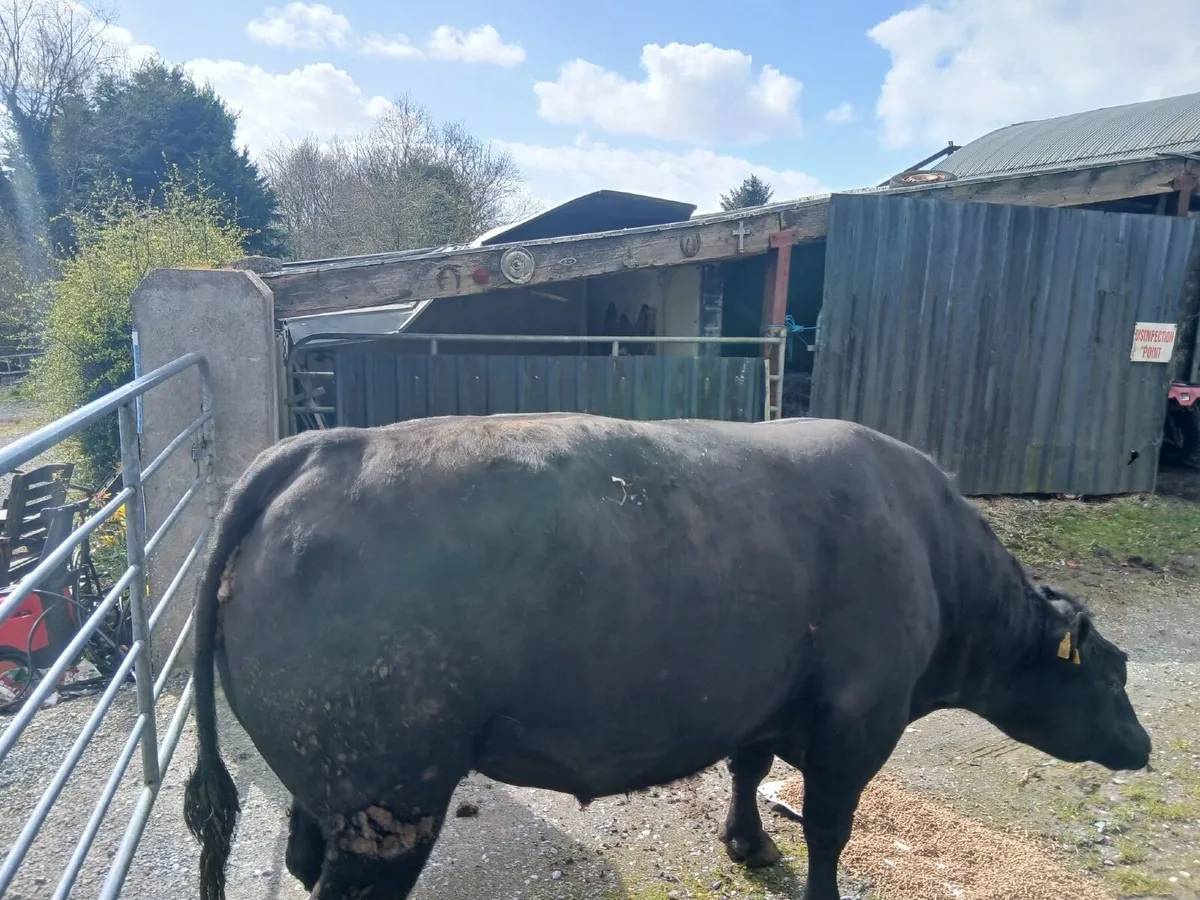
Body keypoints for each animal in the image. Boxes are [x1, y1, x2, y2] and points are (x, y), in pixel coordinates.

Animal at [184, 414, 1151, 900]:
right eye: (1114, 674)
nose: (1142, 747)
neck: (931, 554)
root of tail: (314, 447)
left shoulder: (761, 696)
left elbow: (748, 767)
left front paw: (748, 843)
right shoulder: (860, 719)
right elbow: (830, 828)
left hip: (334, 781)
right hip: (388, 794)